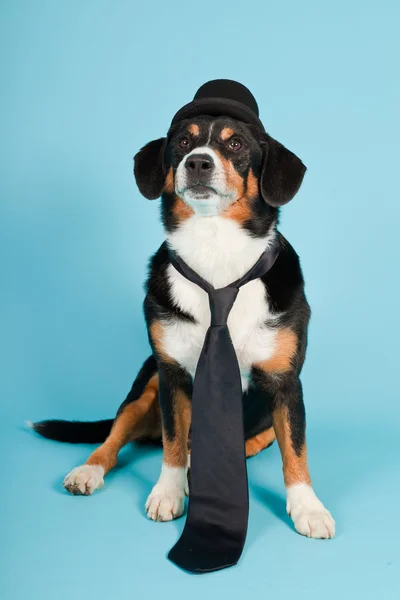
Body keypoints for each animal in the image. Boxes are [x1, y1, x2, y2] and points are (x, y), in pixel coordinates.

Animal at [32, 110, 336, 540]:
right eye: (182, 142)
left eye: (236, 143)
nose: (198, 163)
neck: (216, 249)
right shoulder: (172, 374)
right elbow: (173, 443)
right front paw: (168, 492)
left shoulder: (284, 383)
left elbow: (295, 449)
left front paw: (308, 507)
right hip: (145, 386)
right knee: (115, 437)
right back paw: (88, 470)